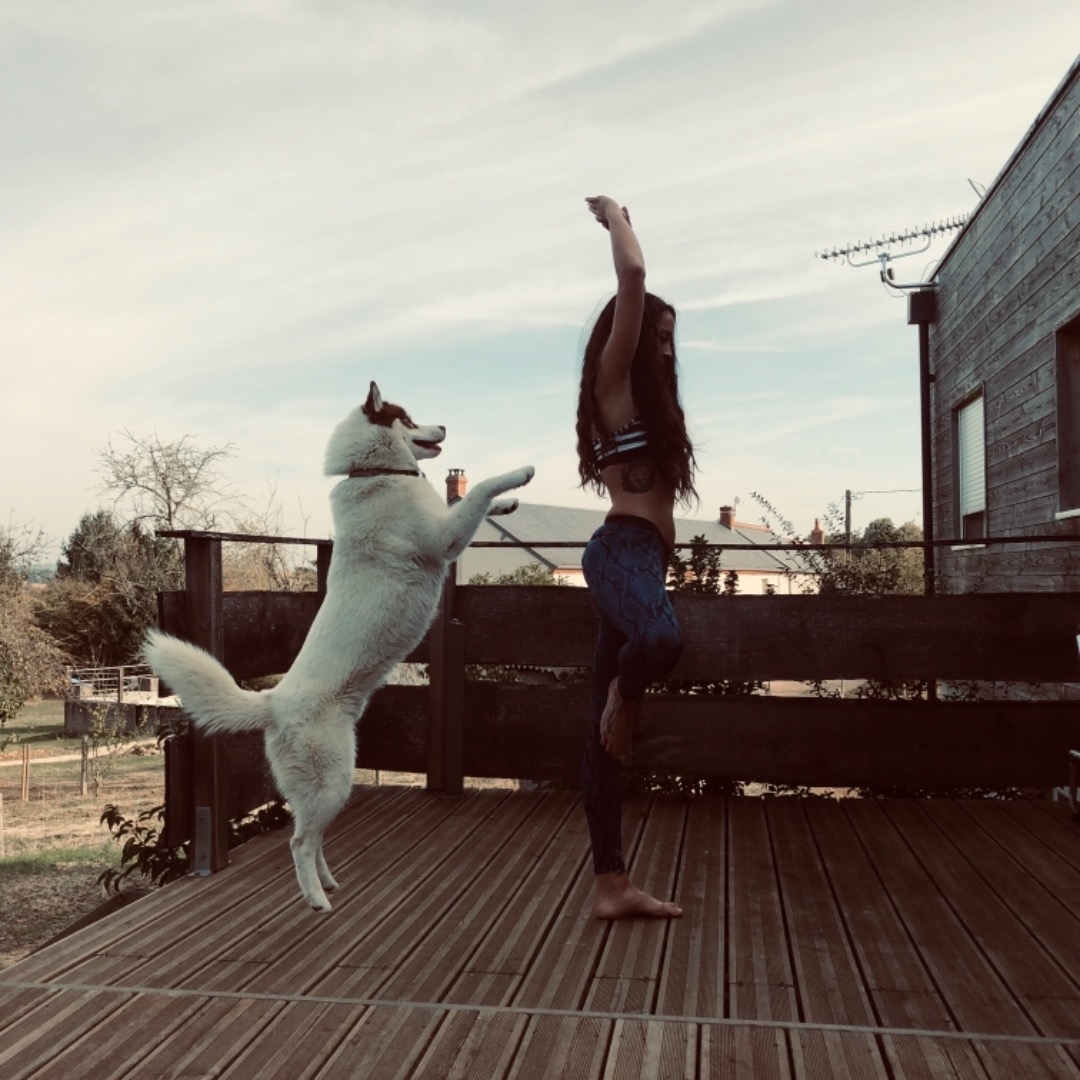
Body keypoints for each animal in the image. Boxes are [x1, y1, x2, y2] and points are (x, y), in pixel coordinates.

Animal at [145, 381, 533, 911]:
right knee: (298, 841)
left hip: (333, 783)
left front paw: (508, 507)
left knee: (314, 837)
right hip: (329, 782)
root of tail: (273, 702)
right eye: (409, 419)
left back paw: (328, 882)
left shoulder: (446, 528)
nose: (445, 425)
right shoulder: (443, 539)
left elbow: (474, 501)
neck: (375, 472)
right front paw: (519, 475)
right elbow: (478, 490)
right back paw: (315, 899)